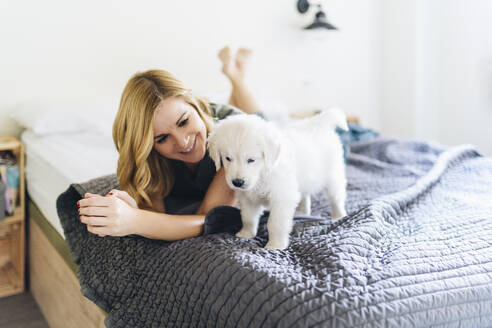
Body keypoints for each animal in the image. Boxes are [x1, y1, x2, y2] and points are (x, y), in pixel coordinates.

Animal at [208, 109, 350, 250]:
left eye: (251, 160)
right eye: (227, 158)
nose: (237, 182)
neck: (262, 173)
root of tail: (320, 124)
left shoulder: (281, 197)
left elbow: (275, 223)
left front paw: (275, 245)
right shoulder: (247, 198)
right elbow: (248, 217)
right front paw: (246, 234)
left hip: (333, 177)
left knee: (336, 198)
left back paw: (339, 216)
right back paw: (302, 211)